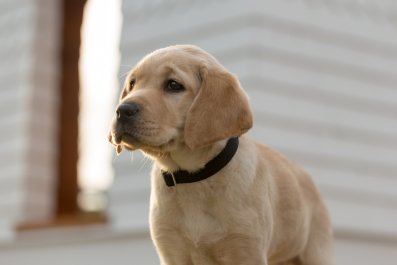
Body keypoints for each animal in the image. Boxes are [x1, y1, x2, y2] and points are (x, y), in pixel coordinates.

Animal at [107, 44, 332, 262]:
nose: (122, 110)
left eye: (173, 85)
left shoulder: (246, 251)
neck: (192, 178)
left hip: (316, 253)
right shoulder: (171, 251)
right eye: (132, 84)